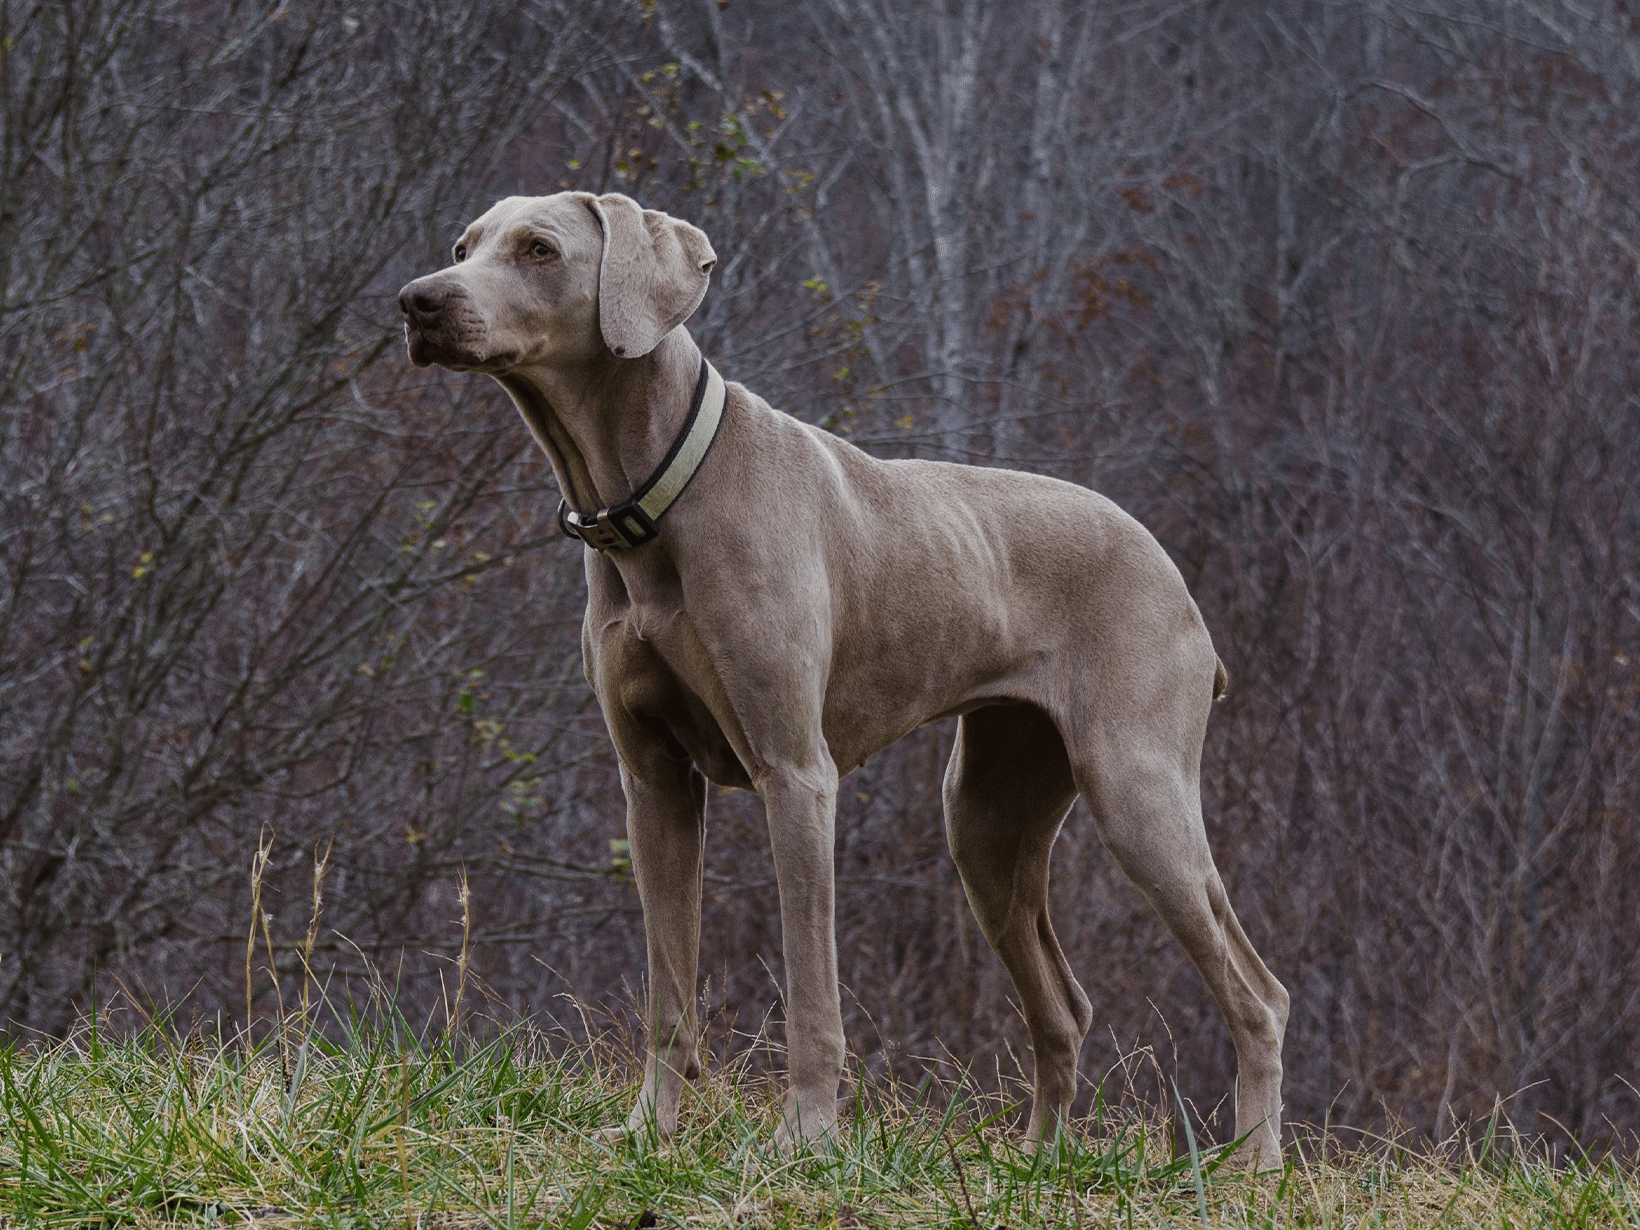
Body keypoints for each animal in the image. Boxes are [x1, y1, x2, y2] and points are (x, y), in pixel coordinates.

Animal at [390, 195, 1285, 1167]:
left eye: (539, 250)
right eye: (463, 246)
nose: (417, 300)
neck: (658, 496)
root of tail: (1174, 574)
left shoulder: (796, 777)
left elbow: (812, 992)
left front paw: (805, 1139)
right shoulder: (653, 784)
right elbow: (669, 986)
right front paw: (648, 1131)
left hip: (1136, 793)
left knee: (1258, 994)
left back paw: (1253, 1166)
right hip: (986, 816)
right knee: (1064, 1007)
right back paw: (1037, 1160)